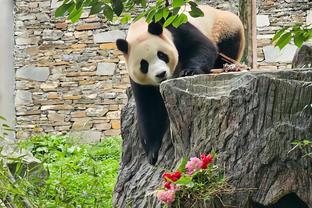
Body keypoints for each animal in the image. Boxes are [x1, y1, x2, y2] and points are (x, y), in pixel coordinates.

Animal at [116, 4, 245, 165]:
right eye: (144, 65)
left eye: (161, 55)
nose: (161, 74)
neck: (140, 26)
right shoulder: (139, 82)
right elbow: (149, 107)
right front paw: (152, 153)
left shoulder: (175, 26)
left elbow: (201, 46)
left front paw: (190, 71)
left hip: (226, 26)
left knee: (227, 48)